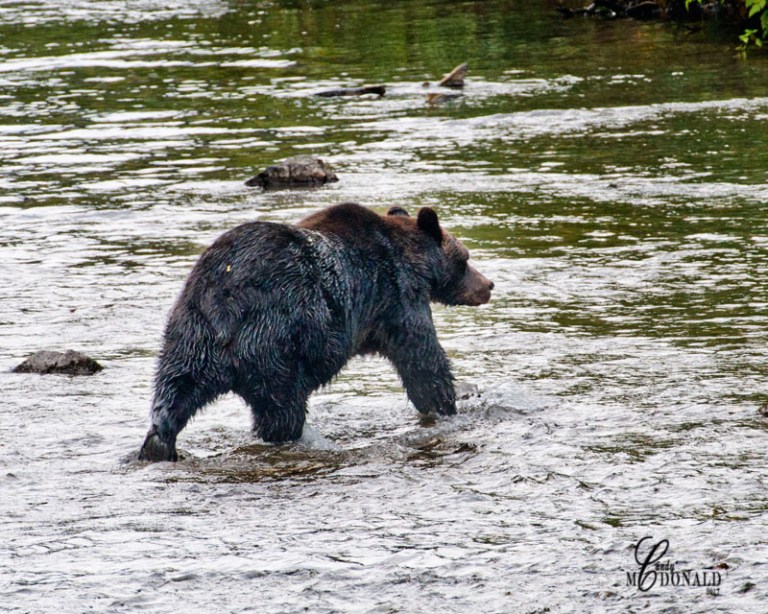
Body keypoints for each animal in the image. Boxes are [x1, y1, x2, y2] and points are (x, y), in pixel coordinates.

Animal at [138, 203, 493, 462]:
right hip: (276, 337)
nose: (487, 285)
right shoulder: (396, 296)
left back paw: (158, 446)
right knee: (281, 406)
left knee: (172, 394)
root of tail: (224, 299)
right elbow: (422, 358)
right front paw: (448, 403)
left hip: (189, 334)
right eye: (465, 259)